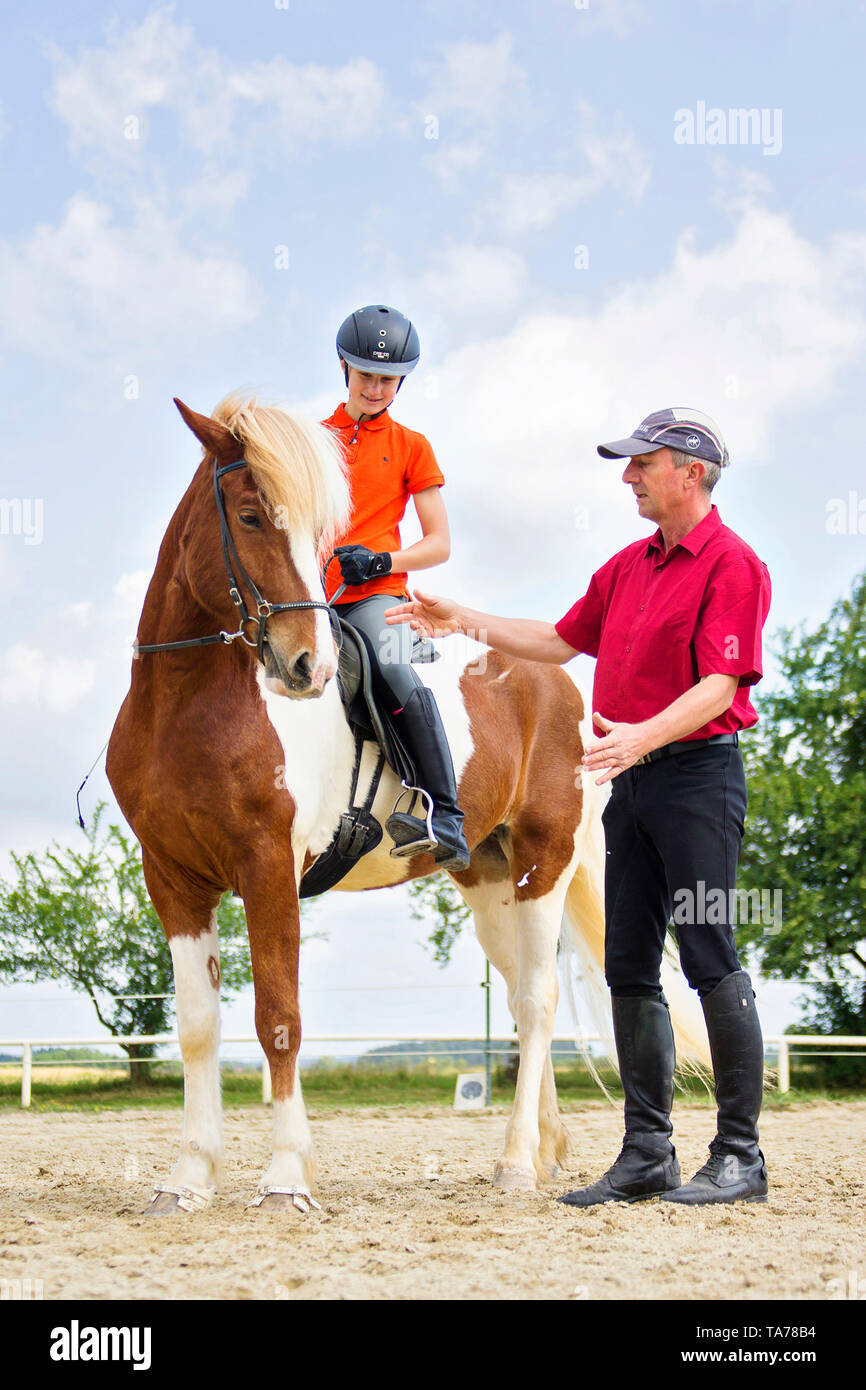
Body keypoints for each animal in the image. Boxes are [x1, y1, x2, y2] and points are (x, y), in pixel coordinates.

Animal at [104, 394, 708, 1217]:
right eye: (253, 516)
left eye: (320, 535)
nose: (308, 666)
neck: (189, 704)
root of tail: (560, 685)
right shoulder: (172, 879)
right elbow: (198, 1026)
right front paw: (188, 1180)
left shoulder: (267, 870)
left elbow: (279, 1018)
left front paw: (286, 1179)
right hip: (488, 879)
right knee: (518, 998)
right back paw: (542, 1153)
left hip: (544, 863)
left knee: (540, 1000)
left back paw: (517, 1165)